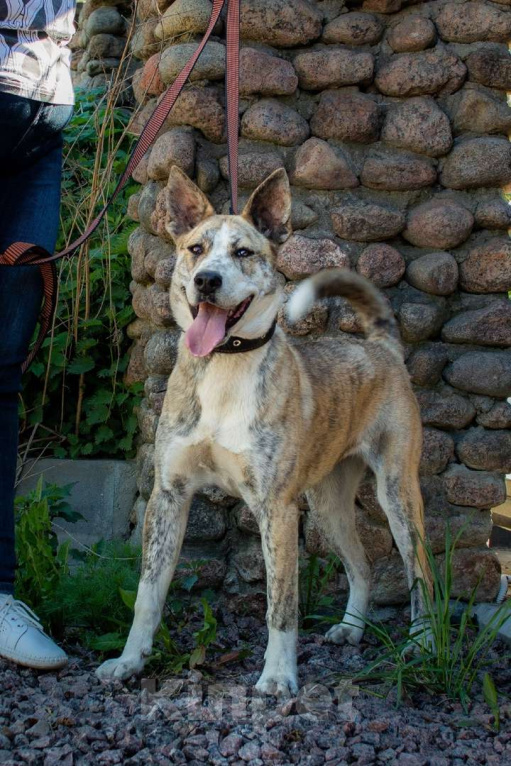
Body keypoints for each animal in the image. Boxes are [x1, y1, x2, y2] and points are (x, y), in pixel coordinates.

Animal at [96, 166, 432, 696]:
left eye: (243, 252)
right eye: (195, 248)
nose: (206, 280)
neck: (225, 363)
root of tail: (381, 346)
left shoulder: (276, 508)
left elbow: (281, 604)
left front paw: (277, 676)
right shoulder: (168, 495)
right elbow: (148, 593)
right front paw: (130, 662)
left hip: (397, 492)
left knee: (421, 573)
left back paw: (423, 644)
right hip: (327, 503)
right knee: (362, 566)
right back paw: (351, 629)